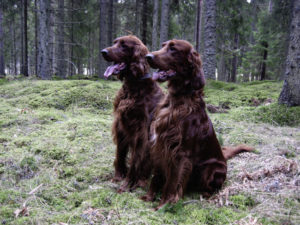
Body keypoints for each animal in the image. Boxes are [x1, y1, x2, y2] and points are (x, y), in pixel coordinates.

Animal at [102, 36, 165, 192]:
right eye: (115, 42)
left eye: (124, 46)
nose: (103, 52)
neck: (133, 87)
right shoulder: (120, 126)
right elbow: (120, 154)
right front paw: (118, 177)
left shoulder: (140, 132)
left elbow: (136, 159)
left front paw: (126, 184)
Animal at [141, 40, 253, 209]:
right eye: (163, 45)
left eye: (173, 49)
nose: (148, 56)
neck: (178, 100)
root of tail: (224, 159)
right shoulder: (159, 144)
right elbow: (157, 176)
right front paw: (149, 197)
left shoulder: (180, 153)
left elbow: (172, 183)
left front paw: (164, 205)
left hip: (211, 169)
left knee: (212, 187)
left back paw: (205, 195)